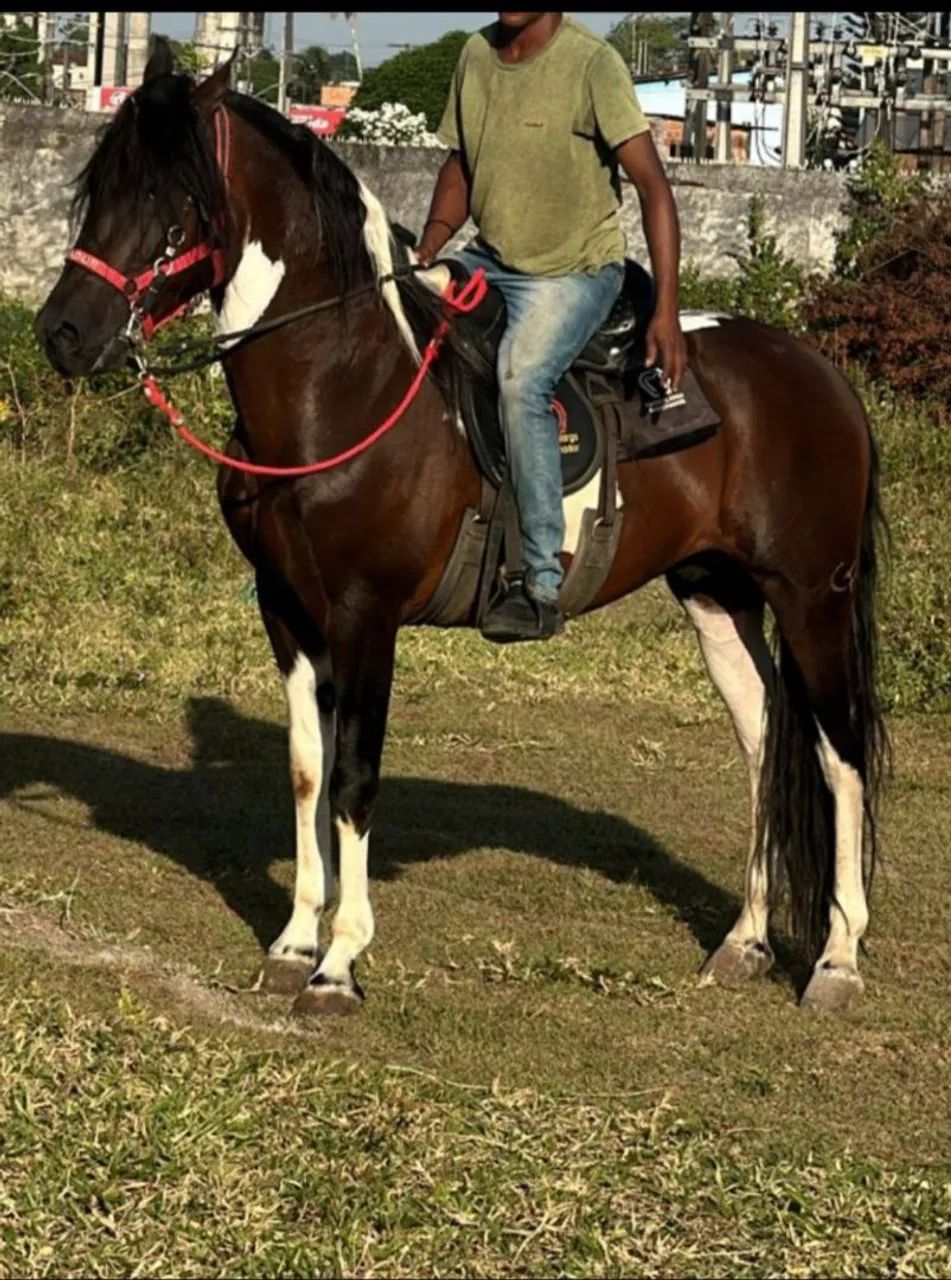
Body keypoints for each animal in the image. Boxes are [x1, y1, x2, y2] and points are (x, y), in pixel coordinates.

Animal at [35, 47, 888, 1017]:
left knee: (839, 753)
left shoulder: (364, 619)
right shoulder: (285, 613)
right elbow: (306, 770)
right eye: (99, 187)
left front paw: (338, 963)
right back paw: (744, 940)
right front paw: (292, 941)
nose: (63, 333)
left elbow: (355, 777)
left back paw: (836, 960)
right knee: (764, 741)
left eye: (169, 198)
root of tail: (819, 373)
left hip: (812, 597)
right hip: (716, 593)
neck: (343, 384)